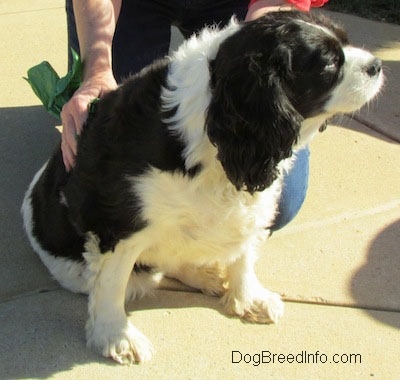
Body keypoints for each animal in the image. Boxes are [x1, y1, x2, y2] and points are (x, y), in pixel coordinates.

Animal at [21, 10, 382, 364]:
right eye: (329, 64)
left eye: (346, 41)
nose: (378, 65)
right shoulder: (118, 219)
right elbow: (112, 282)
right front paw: (116, 336)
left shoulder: (254, 197)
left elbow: (245, 251)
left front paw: (248, 296)